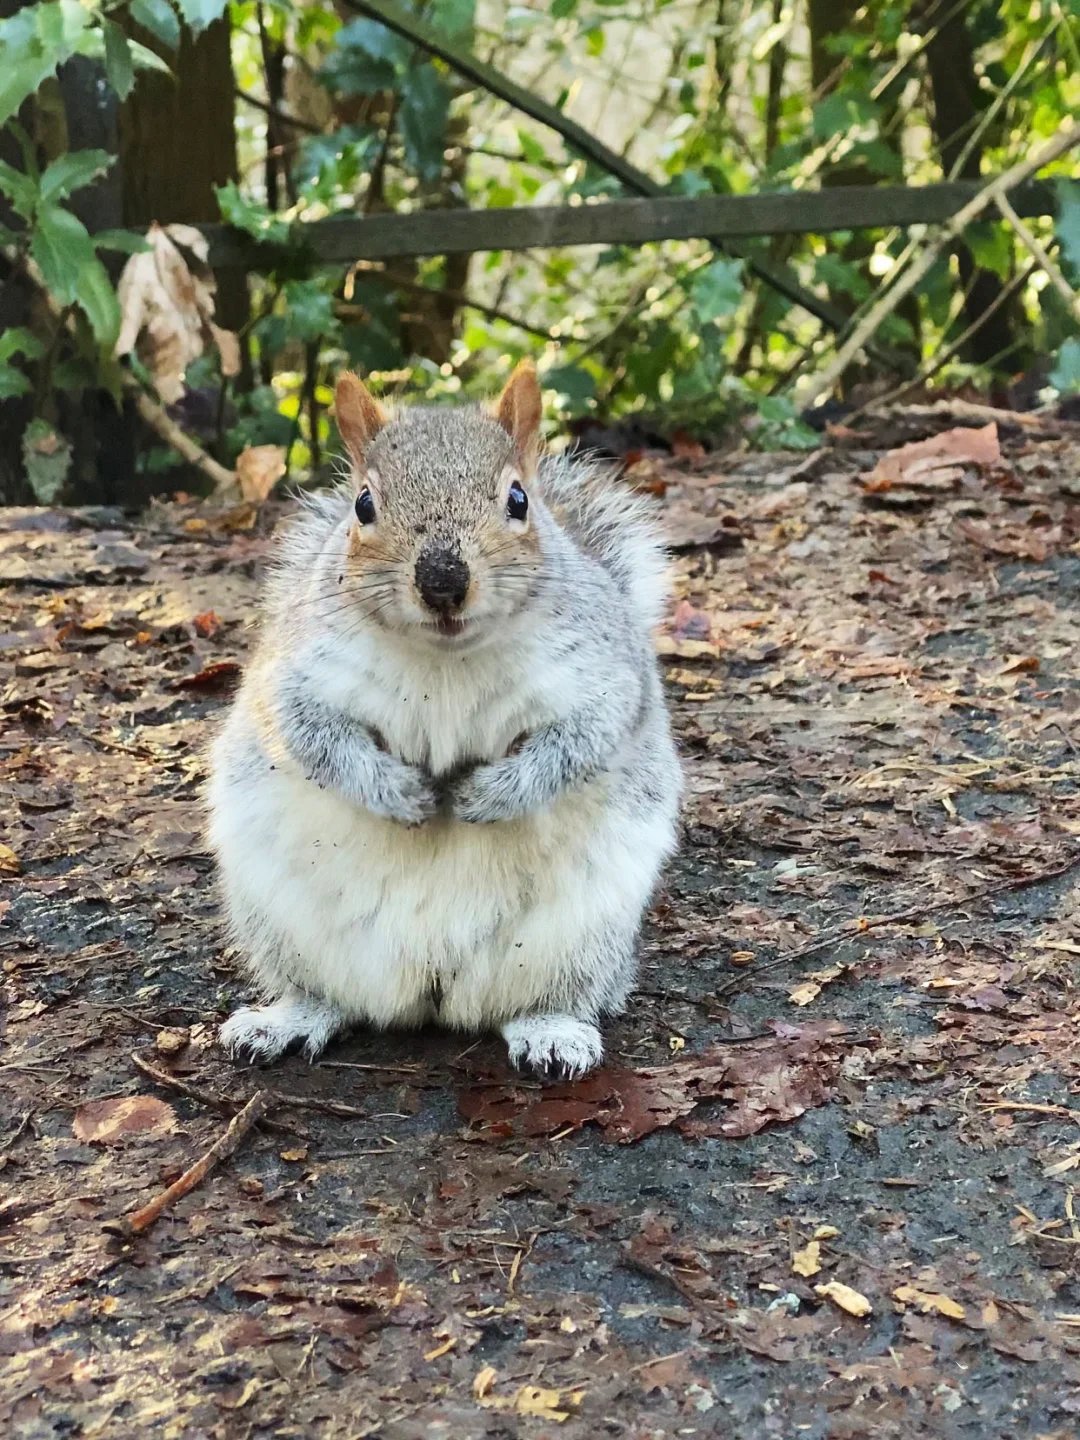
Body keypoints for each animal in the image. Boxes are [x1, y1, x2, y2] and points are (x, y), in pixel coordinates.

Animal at [207, 362, 679, 1082]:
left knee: (551, 996)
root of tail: (431, 987)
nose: (442, 580)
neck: (445, 661)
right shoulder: (295, 674)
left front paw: (487, 795)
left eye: (518, 499)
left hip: (584, 934)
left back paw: (553, 1033)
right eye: (363, 506)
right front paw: (402, 795)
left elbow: (579, 742)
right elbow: (313, 737)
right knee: (328, 997)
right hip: (280, 921)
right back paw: (283, 1021)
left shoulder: (603, 676)